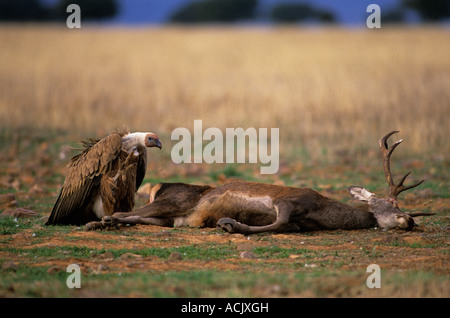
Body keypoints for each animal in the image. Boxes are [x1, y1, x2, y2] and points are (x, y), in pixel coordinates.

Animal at [86, 131, 434, 234]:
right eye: (391, 203)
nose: (410, 220)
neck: (322, 213)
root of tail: (159, 186)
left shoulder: (297, 221)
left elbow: (282, 227)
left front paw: (229, 223)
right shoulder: (288, 201)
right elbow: (275, 223)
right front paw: (229, 223)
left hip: (170, 216)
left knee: (133, 217)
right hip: (172, 201)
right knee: (121, 213)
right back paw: (97, 223)